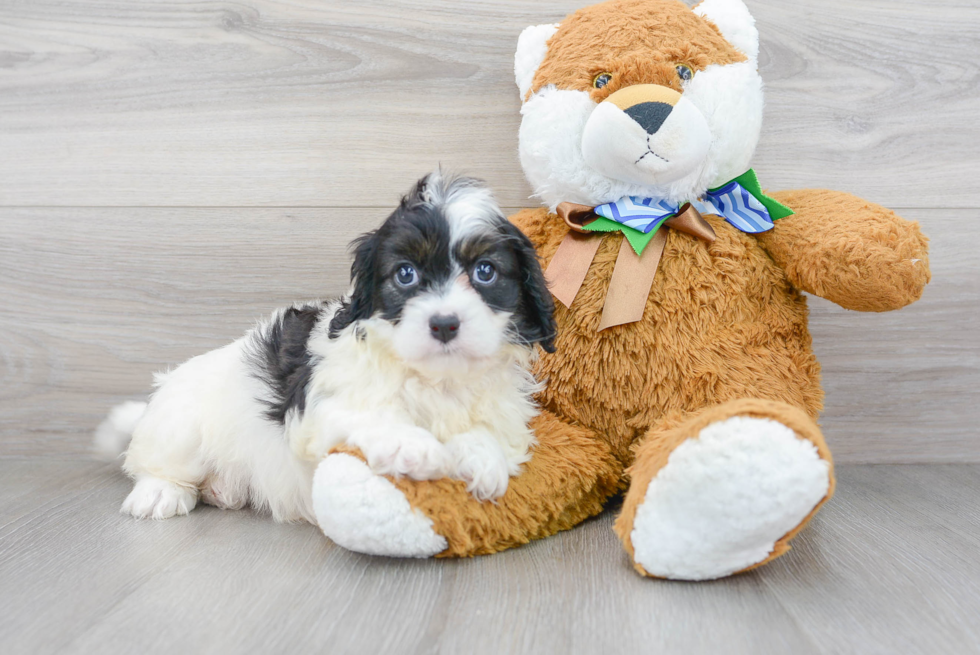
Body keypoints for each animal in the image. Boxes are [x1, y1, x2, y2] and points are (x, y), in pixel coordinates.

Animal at [99, 173, 560, 524]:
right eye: (405, 274)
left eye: (485, 271)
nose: (444, 323)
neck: (435, 379)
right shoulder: (318, 410)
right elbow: (369, 413)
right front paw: (412, 445)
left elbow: (486, 434)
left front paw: (483, 458)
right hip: (180, 428)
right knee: (156, 465)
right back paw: (161, 493)